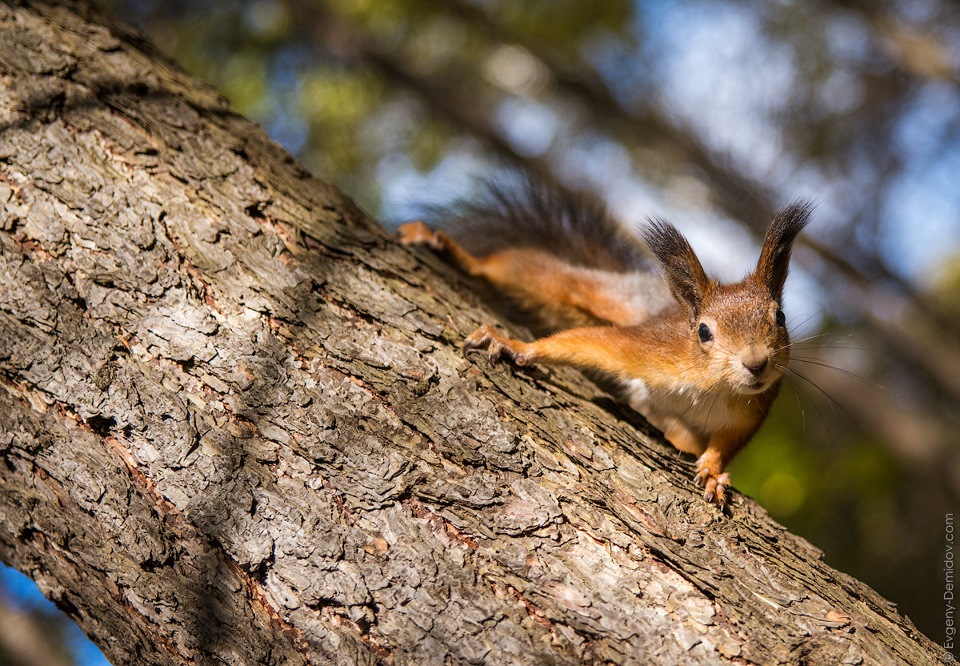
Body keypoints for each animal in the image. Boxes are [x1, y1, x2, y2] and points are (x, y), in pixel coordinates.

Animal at [398, 175, 808, 504]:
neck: (714, 386)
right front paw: (515, 346)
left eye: (780, 318)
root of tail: (656, 299)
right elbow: (588, 343)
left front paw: (712, 470)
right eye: (704, 332)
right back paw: (448, 249)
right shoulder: (652, 349)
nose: (756, 363)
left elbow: (727, 444)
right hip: (592, 293)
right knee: (526, 272)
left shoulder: (753, 410)